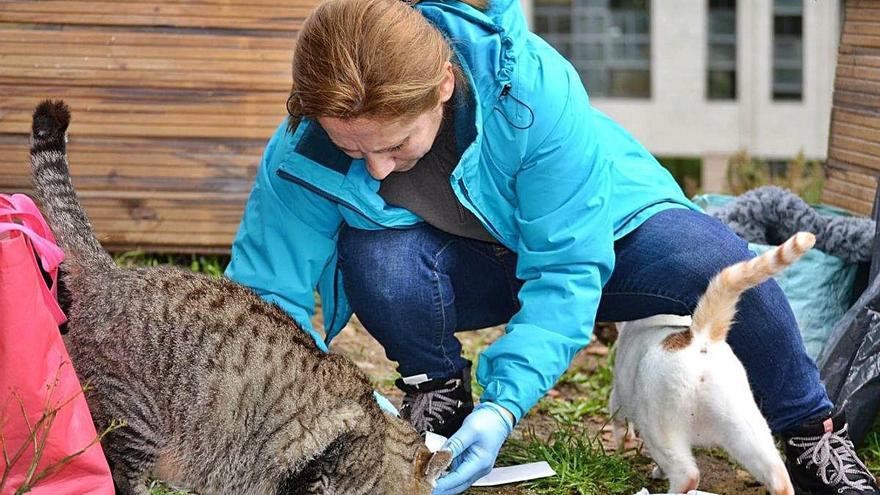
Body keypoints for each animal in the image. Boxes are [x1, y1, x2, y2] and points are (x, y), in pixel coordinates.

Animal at [608, 232, 816, 495]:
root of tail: (702, 334)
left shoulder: (618, 395)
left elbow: (619, 424)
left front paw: (626, 450)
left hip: (658, 423)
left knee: (687, 474)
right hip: (746, 427)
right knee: (779, 476)